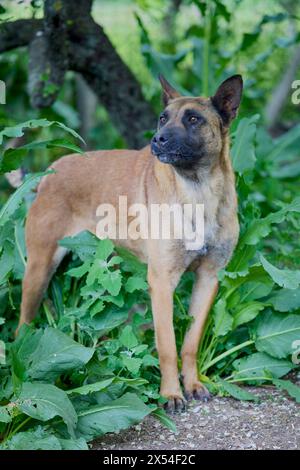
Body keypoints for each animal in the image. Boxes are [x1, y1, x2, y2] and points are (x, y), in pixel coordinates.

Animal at [18, 73, 243, 412]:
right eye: (162, 118)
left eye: (193, 119)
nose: (157, 140)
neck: (198, 191)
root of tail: (51, 172)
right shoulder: (162, 282)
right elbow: (167, 345)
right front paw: (170, 393)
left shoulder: (208, 278)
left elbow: (190, 343)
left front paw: (192, 384)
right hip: (39, 270)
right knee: (23, 322)